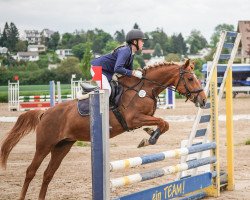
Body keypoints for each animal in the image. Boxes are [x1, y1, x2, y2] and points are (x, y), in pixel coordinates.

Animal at [0, 58, 206, 199]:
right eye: (190, 78)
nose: (204, 100)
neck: (145, 88)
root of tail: (45, 113)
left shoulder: (142, 119)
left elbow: (163, 123)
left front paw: (148, 135)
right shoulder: (133, 119)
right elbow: (163, 123)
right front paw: (149, 139)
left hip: (62, 146)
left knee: (48, 174)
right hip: (44, 145)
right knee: (30, 171)